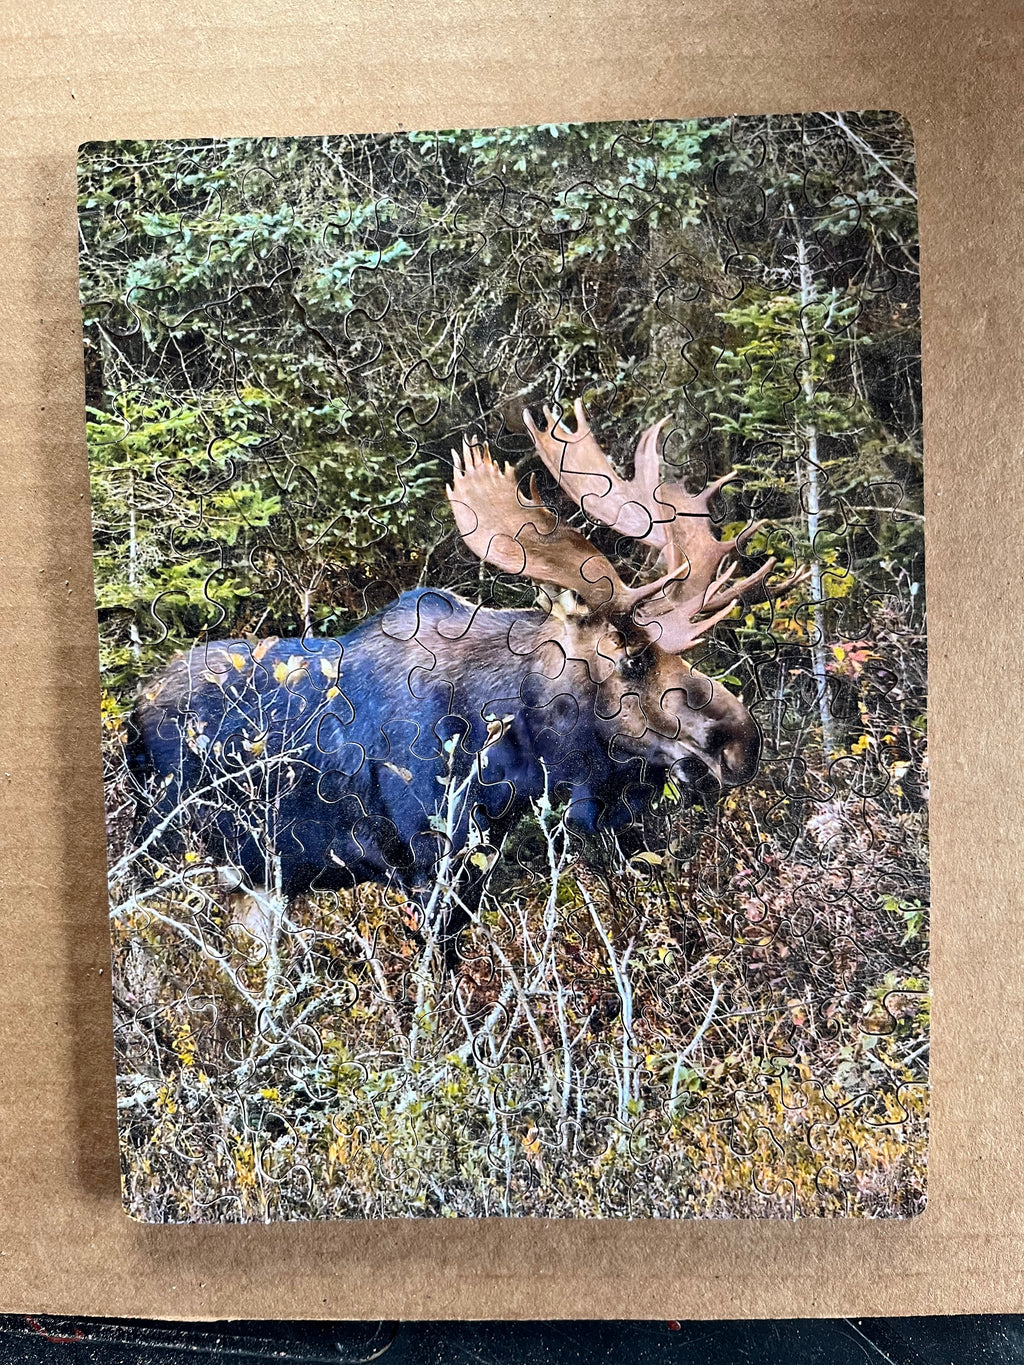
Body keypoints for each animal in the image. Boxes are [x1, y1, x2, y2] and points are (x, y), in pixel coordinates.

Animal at [124, 399, 799, 966]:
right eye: (630, 656)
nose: (742, 740)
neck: (511, 756)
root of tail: (132, 713)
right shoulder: (427, 862)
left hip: (256, 882)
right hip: (169, 854)